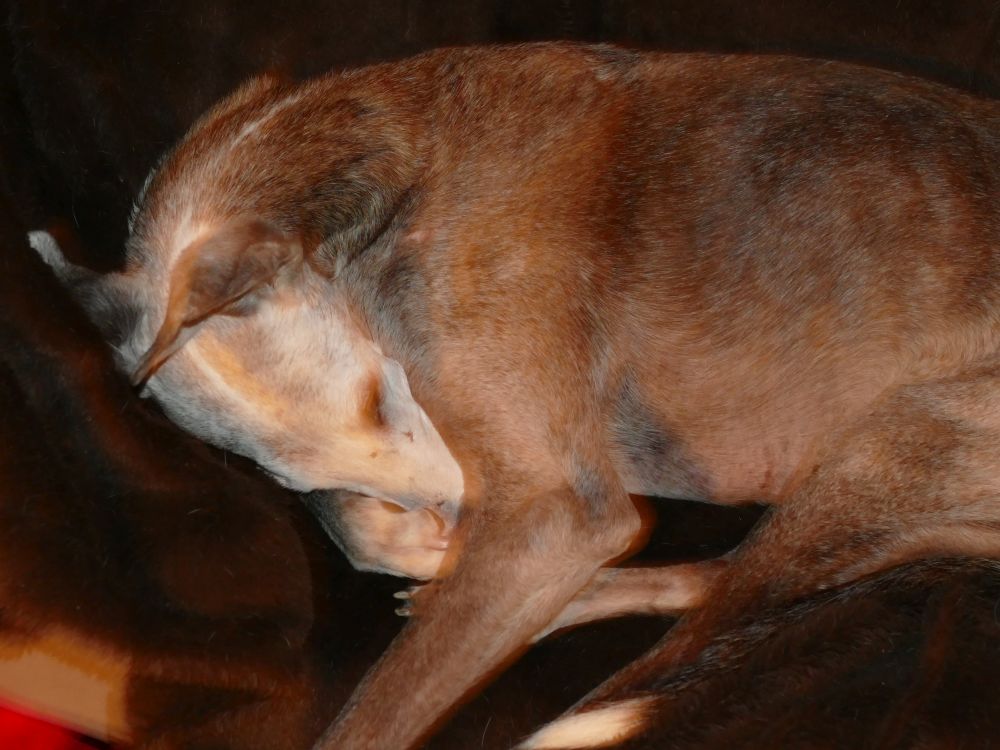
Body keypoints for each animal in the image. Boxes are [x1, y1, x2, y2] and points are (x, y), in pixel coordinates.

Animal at [32, 42, 1000, 749]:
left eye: (383, 396)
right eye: (299, 479)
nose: (457, 522)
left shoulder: (556, 511)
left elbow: (370, 721)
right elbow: (363, 534)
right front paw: (416, 547)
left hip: (892, 441)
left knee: (674, 644)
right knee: (710, 581)